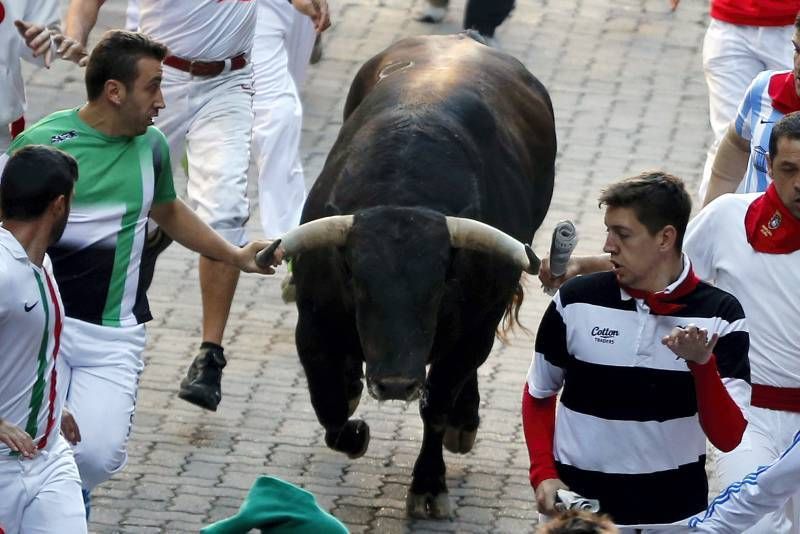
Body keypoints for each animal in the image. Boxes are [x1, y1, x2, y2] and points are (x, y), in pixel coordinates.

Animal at [260, 32, 552, 520]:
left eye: (439, 287)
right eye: (356, 282)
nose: (396, 384)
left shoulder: (471, 329)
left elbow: (436, 407)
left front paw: (429, 485)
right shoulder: (314, 325)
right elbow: (330, 404)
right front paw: (354, 424)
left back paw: (463, 422)